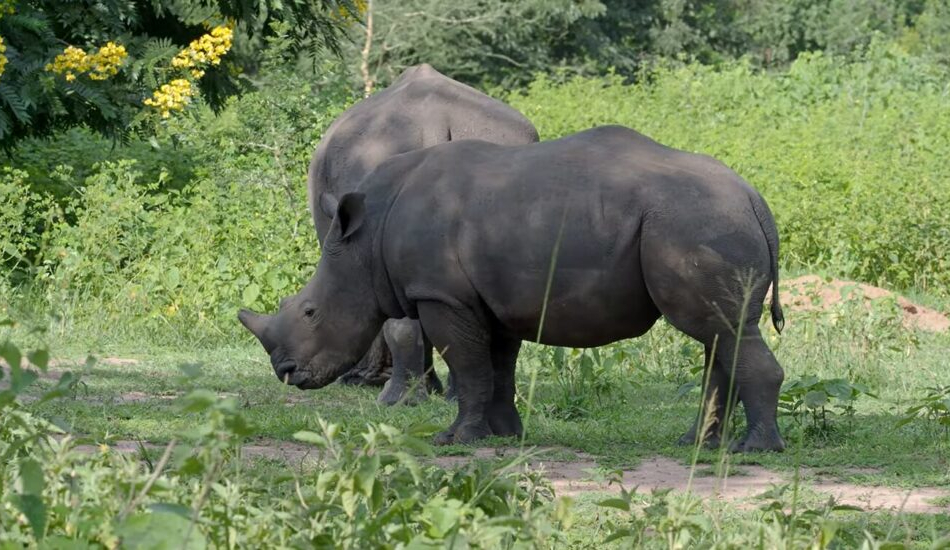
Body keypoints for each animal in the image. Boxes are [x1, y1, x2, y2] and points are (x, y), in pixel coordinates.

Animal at [240, 125, 787, 452]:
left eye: (310, 312)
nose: (286, 372)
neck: (365, 240)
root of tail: (755, 199)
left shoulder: (440, 293)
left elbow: (468, 364)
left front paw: (454, 439)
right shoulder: (490, 296)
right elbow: (497, 366)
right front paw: (504, 434)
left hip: (694, 223)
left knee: (722, 330)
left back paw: (753, 450)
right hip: (701, 221)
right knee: (721, 333)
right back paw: (696, 445)